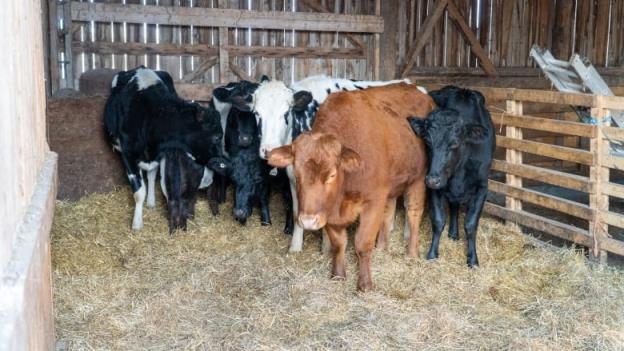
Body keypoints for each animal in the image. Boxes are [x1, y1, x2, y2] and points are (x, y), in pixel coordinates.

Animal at [104, 67, 224, 235]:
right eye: (217, 136)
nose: (222, 161)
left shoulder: (162, 154)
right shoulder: (128, 155)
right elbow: (138, 193)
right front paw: (137, 224)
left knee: (151, 175)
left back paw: (151, 202)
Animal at [227, 75, 422, 254]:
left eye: (286, 113)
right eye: (257, 114)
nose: (268, 150)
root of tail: (409, 83)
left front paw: (326, 248)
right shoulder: (294, 178)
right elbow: (297, 212)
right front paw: (295, 247)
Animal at [266, 83, 434, 292]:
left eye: (331, 175)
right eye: (296, 175)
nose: (308, 221)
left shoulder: (373, 201)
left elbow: (362, 243)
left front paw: (365, 283)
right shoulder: (329, 211)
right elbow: (339, 244)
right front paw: (338, 275)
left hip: (418, 179)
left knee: (413, 213)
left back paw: (411, 253)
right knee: (389, 212)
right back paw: (382, 247)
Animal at [408, 86, 494, 268]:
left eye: (454, 142)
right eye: (427, 141)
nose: (432, 180)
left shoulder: (482, 187)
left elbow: (470, 223)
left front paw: (473, 259)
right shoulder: (434, 186)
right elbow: (438, 220)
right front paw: (432, 254)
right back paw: (453, 233)